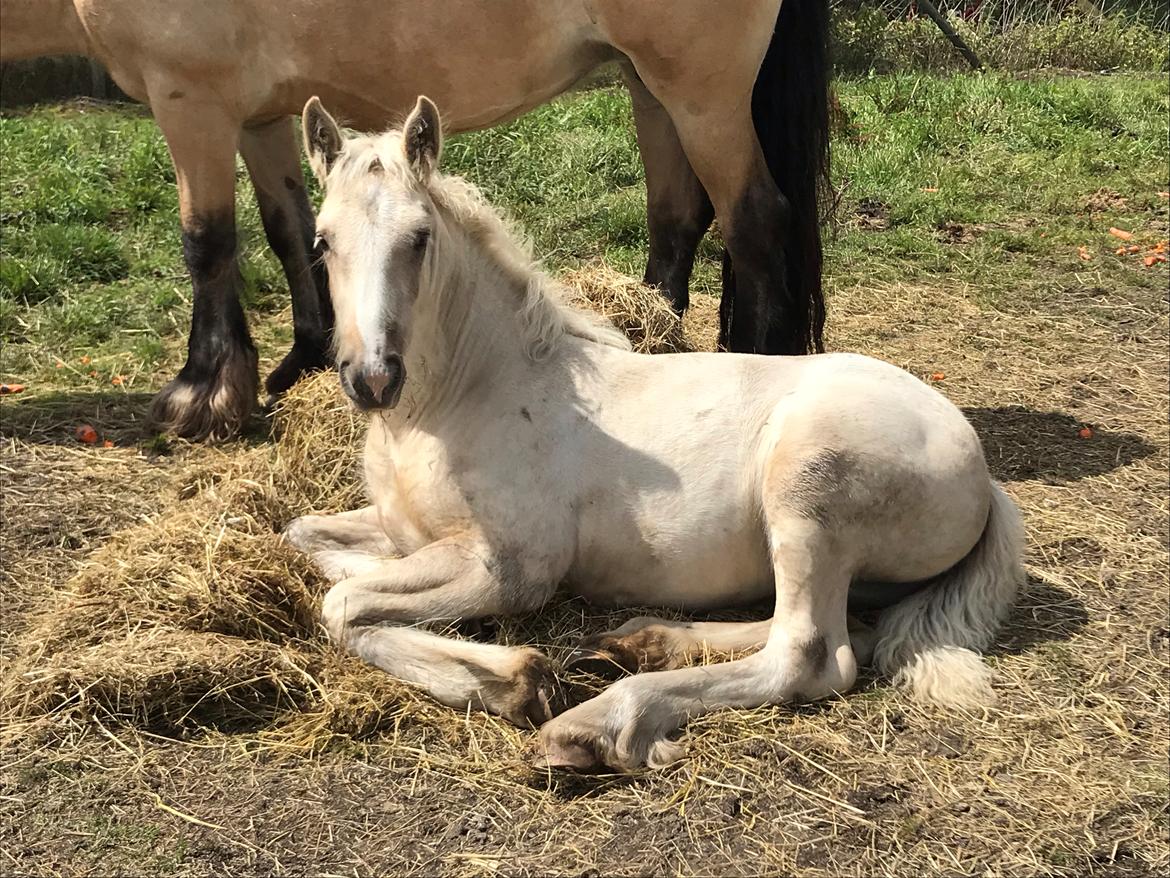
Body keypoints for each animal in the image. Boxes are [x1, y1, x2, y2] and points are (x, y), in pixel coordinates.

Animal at [0, 0, 833, 440]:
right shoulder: (261, 117)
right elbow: (286, 230)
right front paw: (305, 356)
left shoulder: (191, 102)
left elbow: (207, 243)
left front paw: (202, 393)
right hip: (648, 82)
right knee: (678, 218)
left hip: (699, 92)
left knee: (756, 222)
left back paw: (761, 359)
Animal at [283, 94, 1024, 767]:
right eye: (322, 240)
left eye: (419, 238)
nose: (373, 378)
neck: (460, 400)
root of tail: (983, 472)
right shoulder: (399, 528)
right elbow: (308, 541)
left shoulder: (513, 564)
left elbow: (344, 605)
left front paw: (520, 680)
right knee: (830, 628)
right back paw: (638, 641)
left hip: (808, 490)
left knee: (810, 655)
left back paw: (598, 724)